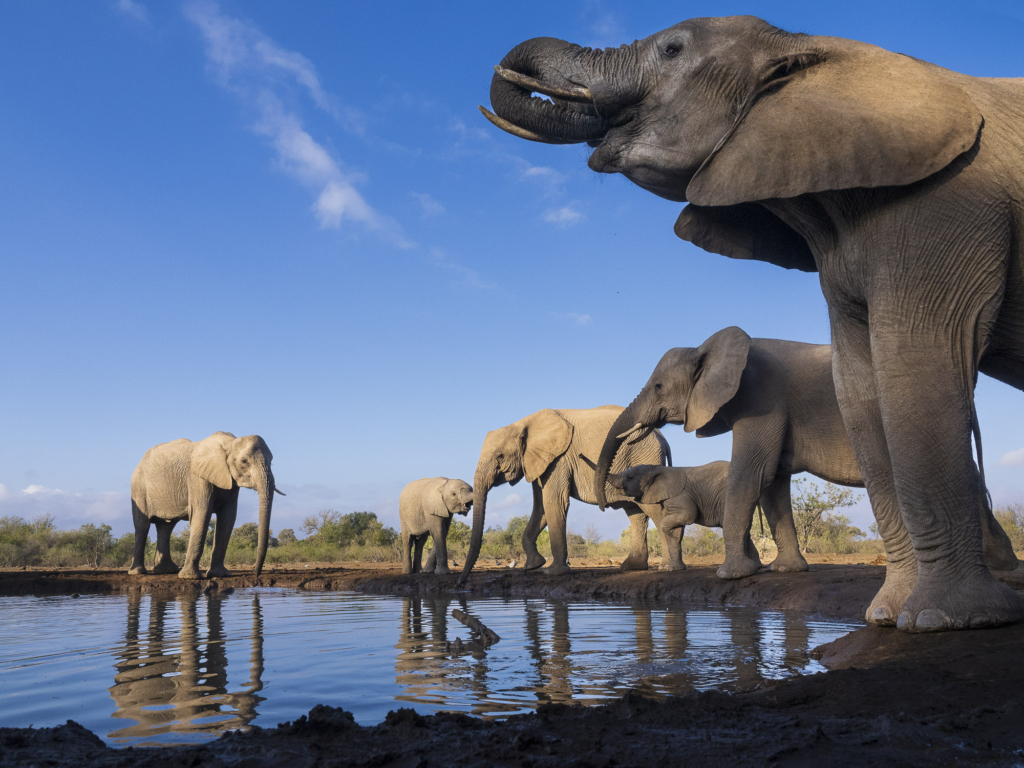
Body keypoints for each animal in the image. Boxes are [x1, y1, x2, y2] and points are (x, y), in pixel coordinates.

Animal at [131, 430, 288, 581]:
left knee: (166, 526)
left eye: (271, 461)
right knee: (142, 526)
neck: (230, 442)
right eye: (244, 461)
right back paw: (138, 572)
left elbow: (228, 517)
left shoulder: (230, 480)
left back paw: (167, 570)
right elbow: (202, 513)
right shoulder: (197, 478)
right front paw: (190, 577)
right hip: (139, 487)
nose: (256, 575)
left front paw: (220, 574)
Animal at [458, 405, 671, 581]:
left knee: (652, 509)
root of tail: (662, 436)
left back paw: (666, 567)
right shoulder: (539, 461)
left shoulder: (559, 459)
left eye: (500, 456)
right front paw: (533, 566)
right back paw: (632, 567)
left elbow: (554, 502)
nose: (461, 582)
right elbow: (541, 507)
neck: (523, 423)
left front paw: (552, 572)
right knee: (635, 513)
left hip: (642, 458)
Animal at [606, 462, 798, 573]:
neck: (658, 469)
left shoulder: (680, 495)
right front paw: (673, 569)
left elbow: (685, 516)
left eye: (629, 477)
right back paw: (756, 567)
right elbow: (677, 529)